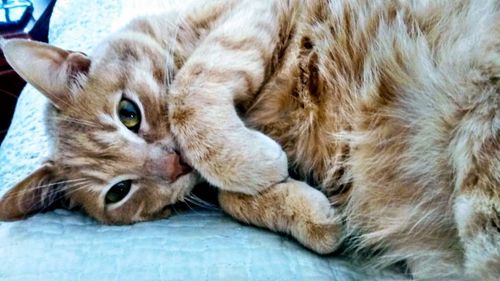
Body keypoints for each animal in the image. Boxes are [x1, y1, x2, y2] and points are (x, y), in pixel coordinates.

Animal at [0, 1, 500, 278]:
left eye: (129, 113)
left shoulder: (249, 14)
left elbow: (188, 94)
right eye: (119, 191)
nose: (173, 165)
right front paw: (310, 215)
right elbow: (228, 198)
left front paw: (250, 163)